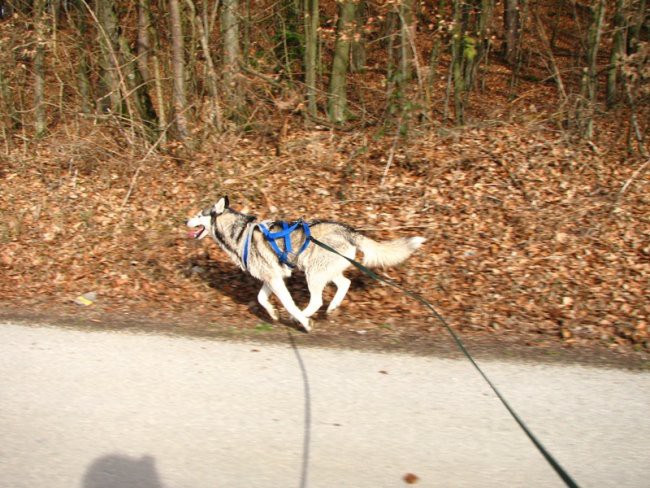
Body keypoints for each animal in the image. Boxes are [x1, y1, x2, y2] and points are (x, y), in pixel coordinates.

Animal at [186, 197, 426, 332]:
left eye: (198, 214)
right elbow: (261, 298)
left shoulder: (275, 279)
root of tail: (348, 231)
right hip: (325, 271)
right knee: (345, 284)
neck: (240, 233)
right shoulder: (272, 278)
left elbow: (289, 303)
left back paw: (303, 316)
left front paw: (299, 319)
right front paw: (273, 313)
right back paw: (332, 307)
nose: (184, 220)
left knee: (318, 300)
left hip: (314, 274)